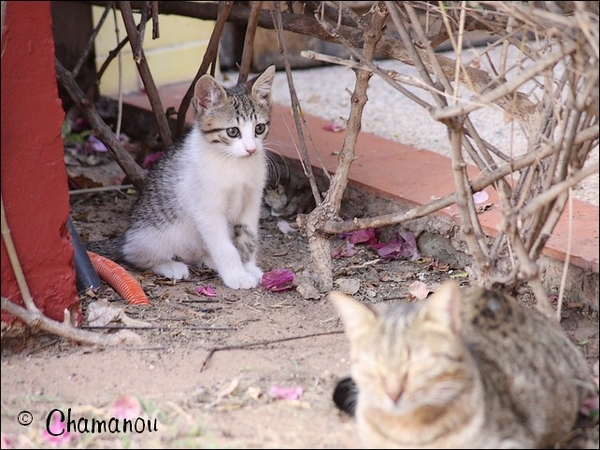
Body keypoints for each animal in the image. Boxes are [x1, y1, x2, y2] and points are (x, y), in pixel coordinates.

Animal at [88, 66, 276, 288]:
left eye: (259, 128)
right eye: (232, 131)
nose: (251, 149)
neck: (234, 163)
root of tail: (126, 236)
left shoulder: (251, 200)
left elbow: (247, 236)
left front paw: (248, 267)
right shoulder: (207, 210)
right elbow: (224, 246)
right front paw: (237, 275)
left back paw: (208, 260)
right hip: (152, 236)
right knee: (134, 255)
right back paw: (170, 266)